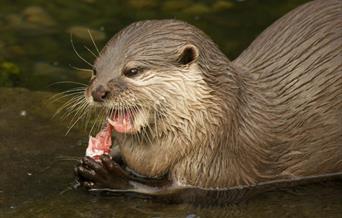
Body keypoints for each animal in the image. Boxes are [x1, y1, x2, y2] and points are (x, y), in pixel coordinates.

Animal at [75, 0, 342, 204]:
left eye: (132, 71)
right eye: (94, 70)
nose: (98, 91)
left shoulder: (217, 158)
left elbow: (172, 191)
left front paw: (108, 177)